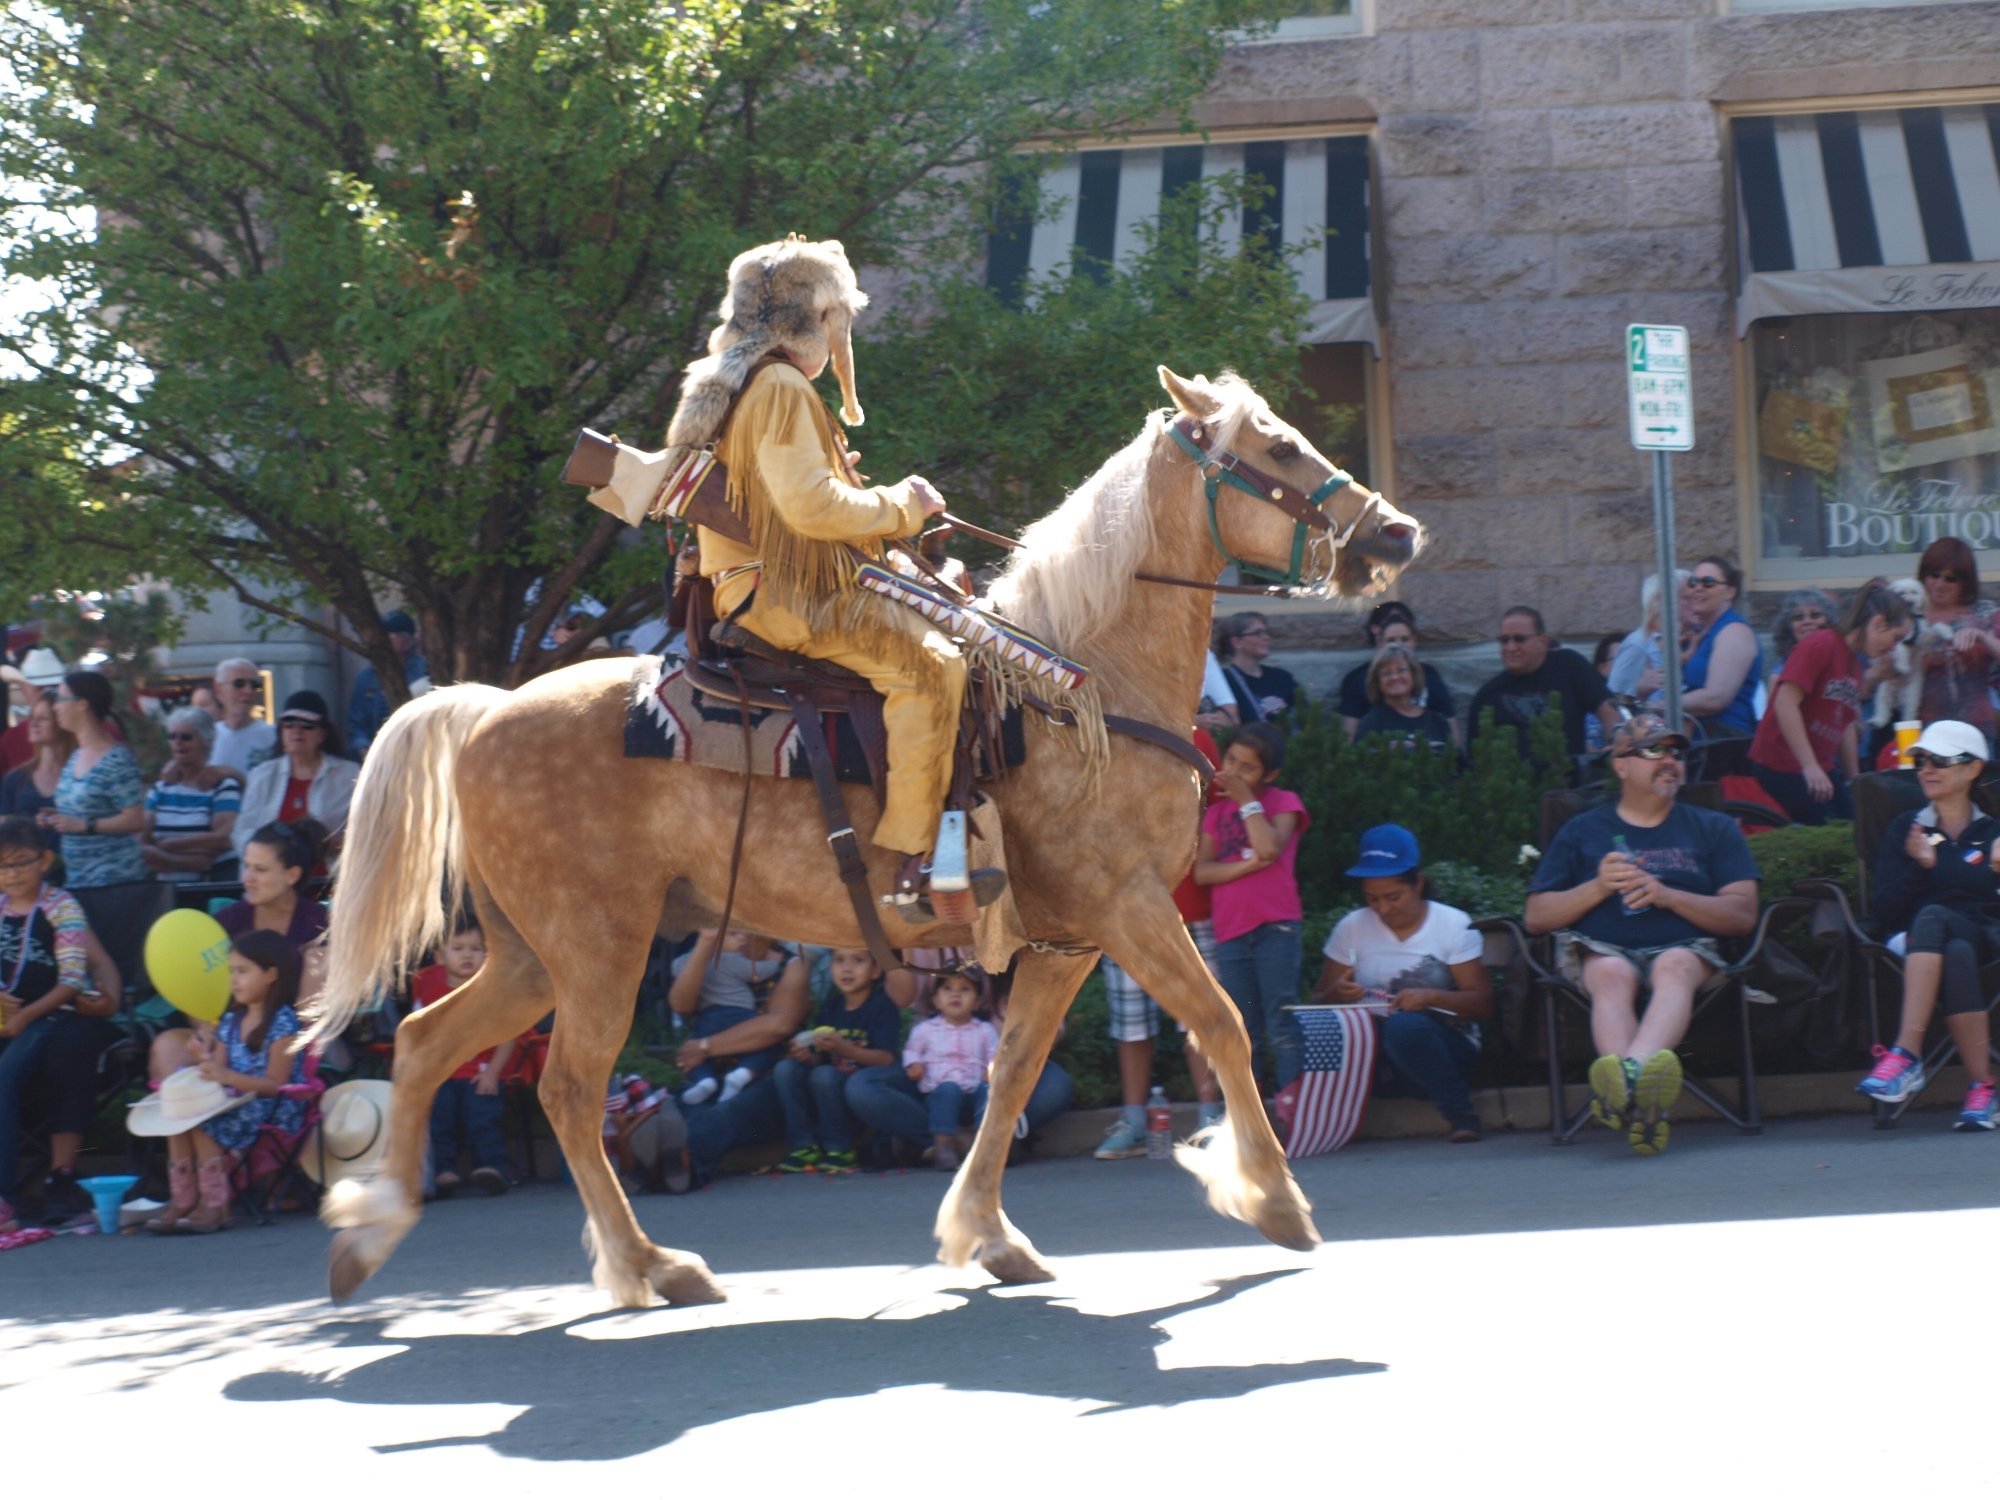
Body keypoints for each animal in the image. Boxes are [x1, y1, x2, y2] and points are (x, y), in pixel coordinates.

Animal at [308, 370, 1424, 1312]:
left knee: (424, 1043)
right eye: (1277, 446)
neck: (1084, 689)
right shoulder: (1130, 907)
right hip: (597, 950)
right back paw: (649, 1265)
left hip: (532, 955)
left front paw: (986, 1234)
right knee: (571, 1092)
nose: (1396, 532)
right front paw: (1273, 1201)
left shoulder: (1067, 938)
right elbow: (1225, 1026)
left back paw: (369, 1235)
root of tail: (485, 709)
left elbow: (1011, 1071)